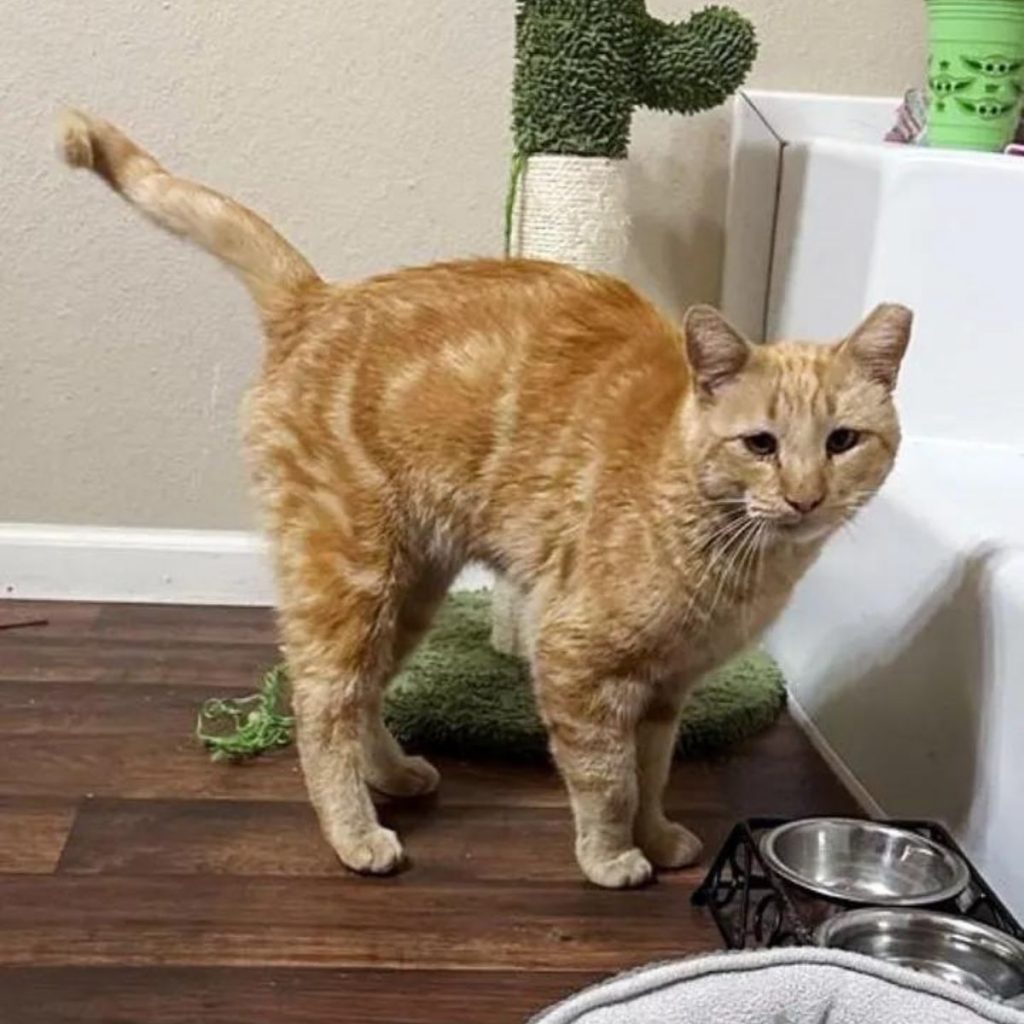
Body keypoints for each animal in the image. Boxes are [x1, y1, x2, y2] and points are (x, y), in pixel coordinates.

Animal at [58, 112, 913, 888]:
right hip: (350, 578)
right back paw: (355, 834)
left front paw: (661, 835)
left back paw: (394, 775)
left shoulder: (666, 691)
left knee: (365, 694)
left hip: (407, 590)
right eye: (761, 444)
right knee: (322, 704)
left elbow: (654, 772)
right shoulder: (577, 660)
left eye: (842, 442)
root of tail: (318, 297)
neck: (730, 549)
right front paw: (612, 857)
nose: (805, 497)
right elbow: (607, 780)